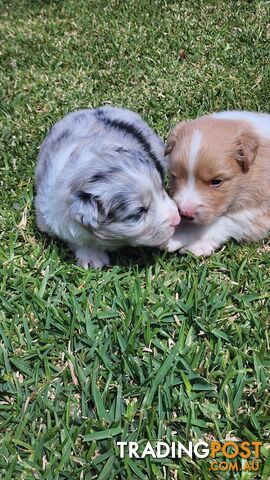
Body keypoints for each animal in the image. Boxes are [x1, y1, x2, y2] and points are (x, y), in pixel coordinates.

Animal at [165, 111, 270, 256]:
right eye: (174, 177)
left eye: (216, 181)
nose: (185, 213)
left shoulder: (259, 210)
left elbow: (225, 221)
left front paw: (186, 238)